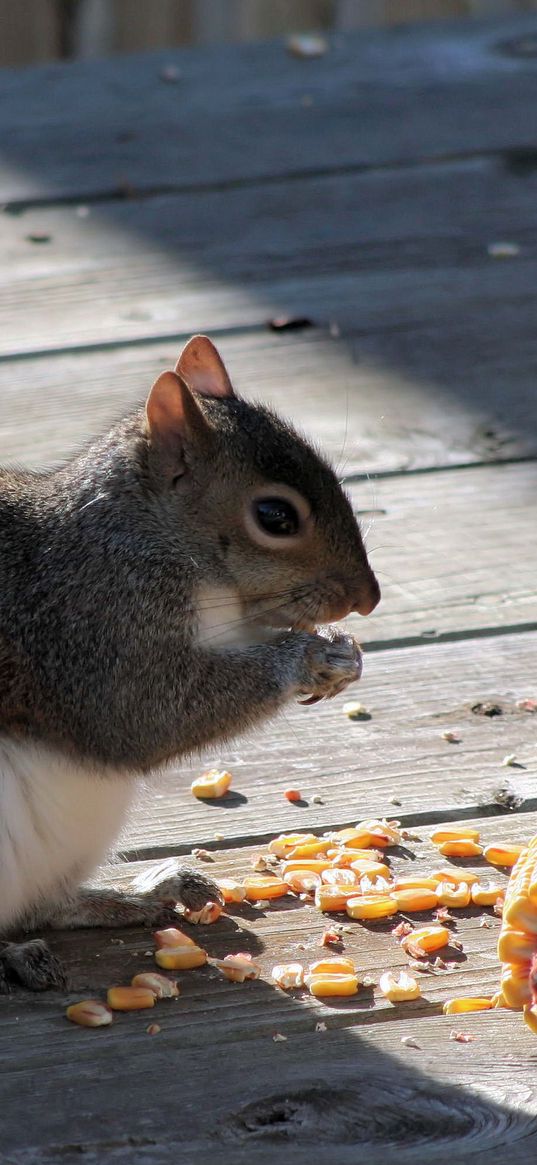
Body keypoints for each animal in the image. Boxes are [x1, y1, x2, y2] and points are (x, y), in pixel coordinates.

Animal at [0, 337, 379, 992]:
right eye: (276, 517)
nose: (370, 598)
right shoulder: (89, 627)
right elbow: (146, 716)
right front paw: (305, 658)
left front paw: (339, 651)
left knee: (44, 904)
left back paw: (136, 894)